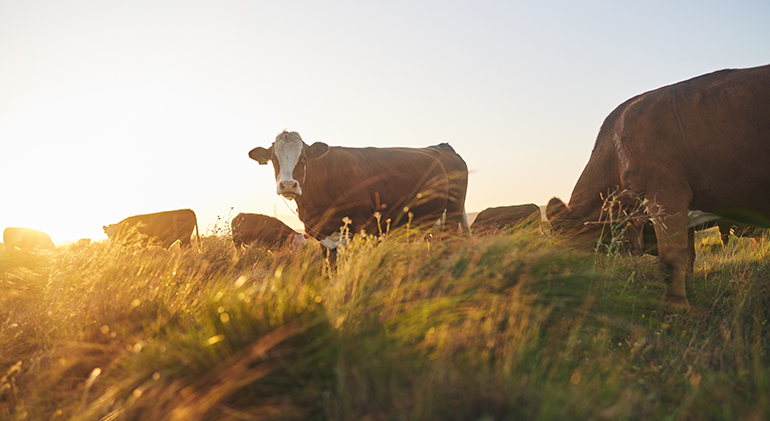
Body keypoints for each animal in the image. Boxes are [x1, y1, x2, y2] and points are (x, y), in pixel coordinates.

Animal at [249, 130, 472, 248]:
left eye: (303, 158)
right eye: (273, 159)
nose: (288, 185)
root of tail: (442, 147)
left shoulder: (364, 227)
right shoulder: (323, 234)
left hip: (453, 212)